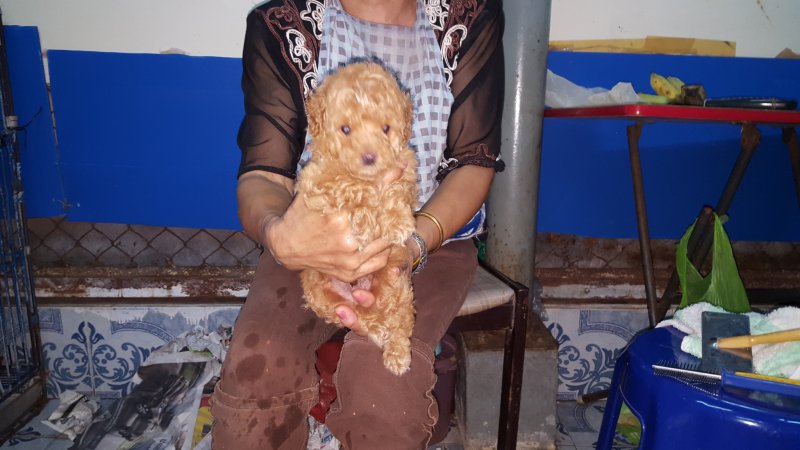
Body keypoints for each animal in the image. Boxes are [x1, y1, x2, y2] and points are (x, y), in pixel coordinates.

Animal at [298, 61, 418, 375]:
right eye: (346, 129)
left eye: (386, 129)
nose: (369, 157)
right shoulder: (315, 181)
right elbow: (351, 186)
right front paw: (364, 223)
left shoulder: (405, 167)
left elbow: (394, 191)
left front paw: (397, 221)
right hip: (322, 294)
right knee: (357, 317)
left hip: (396, 285)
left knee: (400, 320)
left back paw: (397, 354)